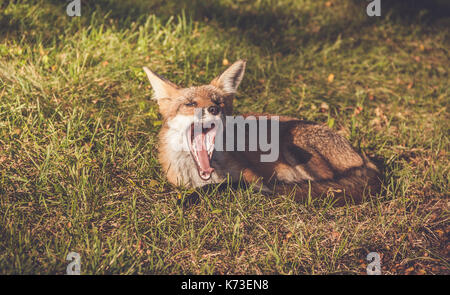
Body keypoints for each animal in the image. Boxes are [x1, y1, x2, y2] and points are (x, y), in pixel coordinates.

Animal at [142, 58, 382, 205]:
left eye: (218, 102)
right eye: (190, 104)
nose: (214, 109)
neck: (203, 175)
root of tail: (362, 157)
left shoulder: (251, 177)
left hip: (293, 143)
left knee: (327, 184)